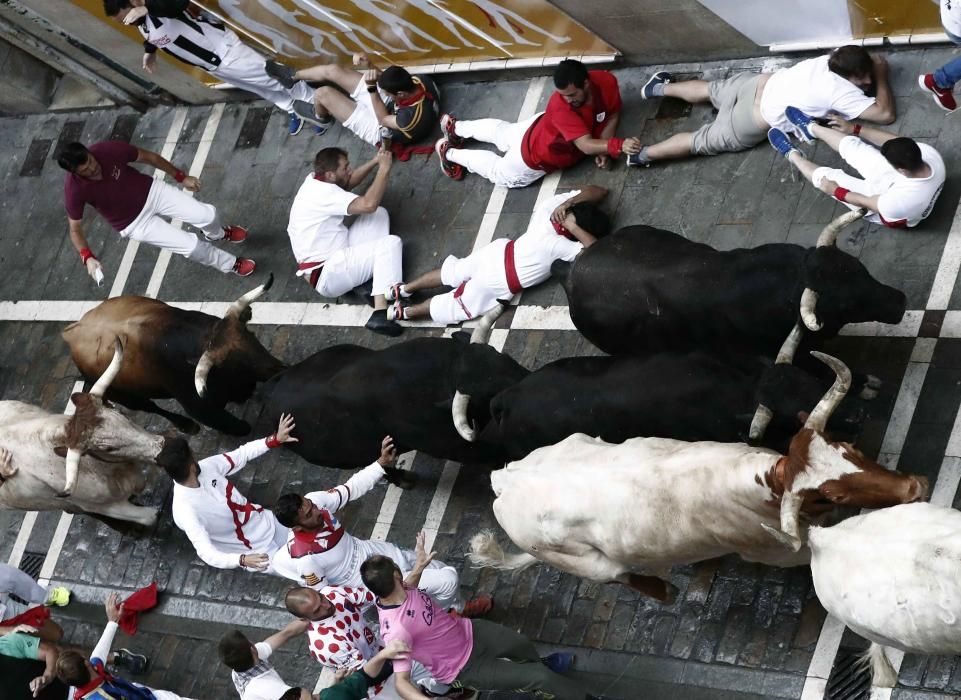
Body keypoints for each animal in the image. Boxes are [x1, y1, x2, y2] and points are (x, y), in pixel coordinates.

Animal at [468, 356, 928, 600]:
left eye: (848, 450)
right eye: (831, 495)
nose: (915, 487)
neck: (759, 480)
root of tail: (503, 480)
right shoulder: (776, 553)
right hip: (585, 563)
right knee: (620, 575)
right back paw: (665, 592)